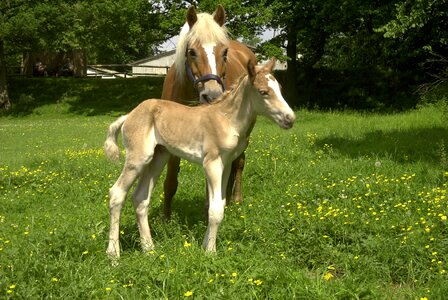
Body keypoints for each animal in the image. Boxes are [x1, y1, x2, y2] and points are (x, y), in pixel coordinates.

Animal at [103, 58, 296, 258]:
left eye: (280, 88)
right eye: (263, 92)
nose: (290, 119)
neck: (227, 119)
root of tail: (129, 115)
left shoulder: (226, 164)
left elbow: (220, 203)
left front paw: (205, 246)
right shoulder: (212, 163)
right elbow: (215, 209)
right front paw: (210, 252)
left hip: (158, 157)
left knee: (140, 198)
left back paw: (149, 249)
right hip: (138, 158)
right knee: (117, 193)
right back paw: (114, 254)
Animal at [161, 4, 256, 217]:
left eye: (225, 52)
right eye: (192, 52)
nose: (212, 95)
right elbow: (170, 180)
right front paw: (165, 218)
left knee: (239, 162)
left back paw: (235, 199)